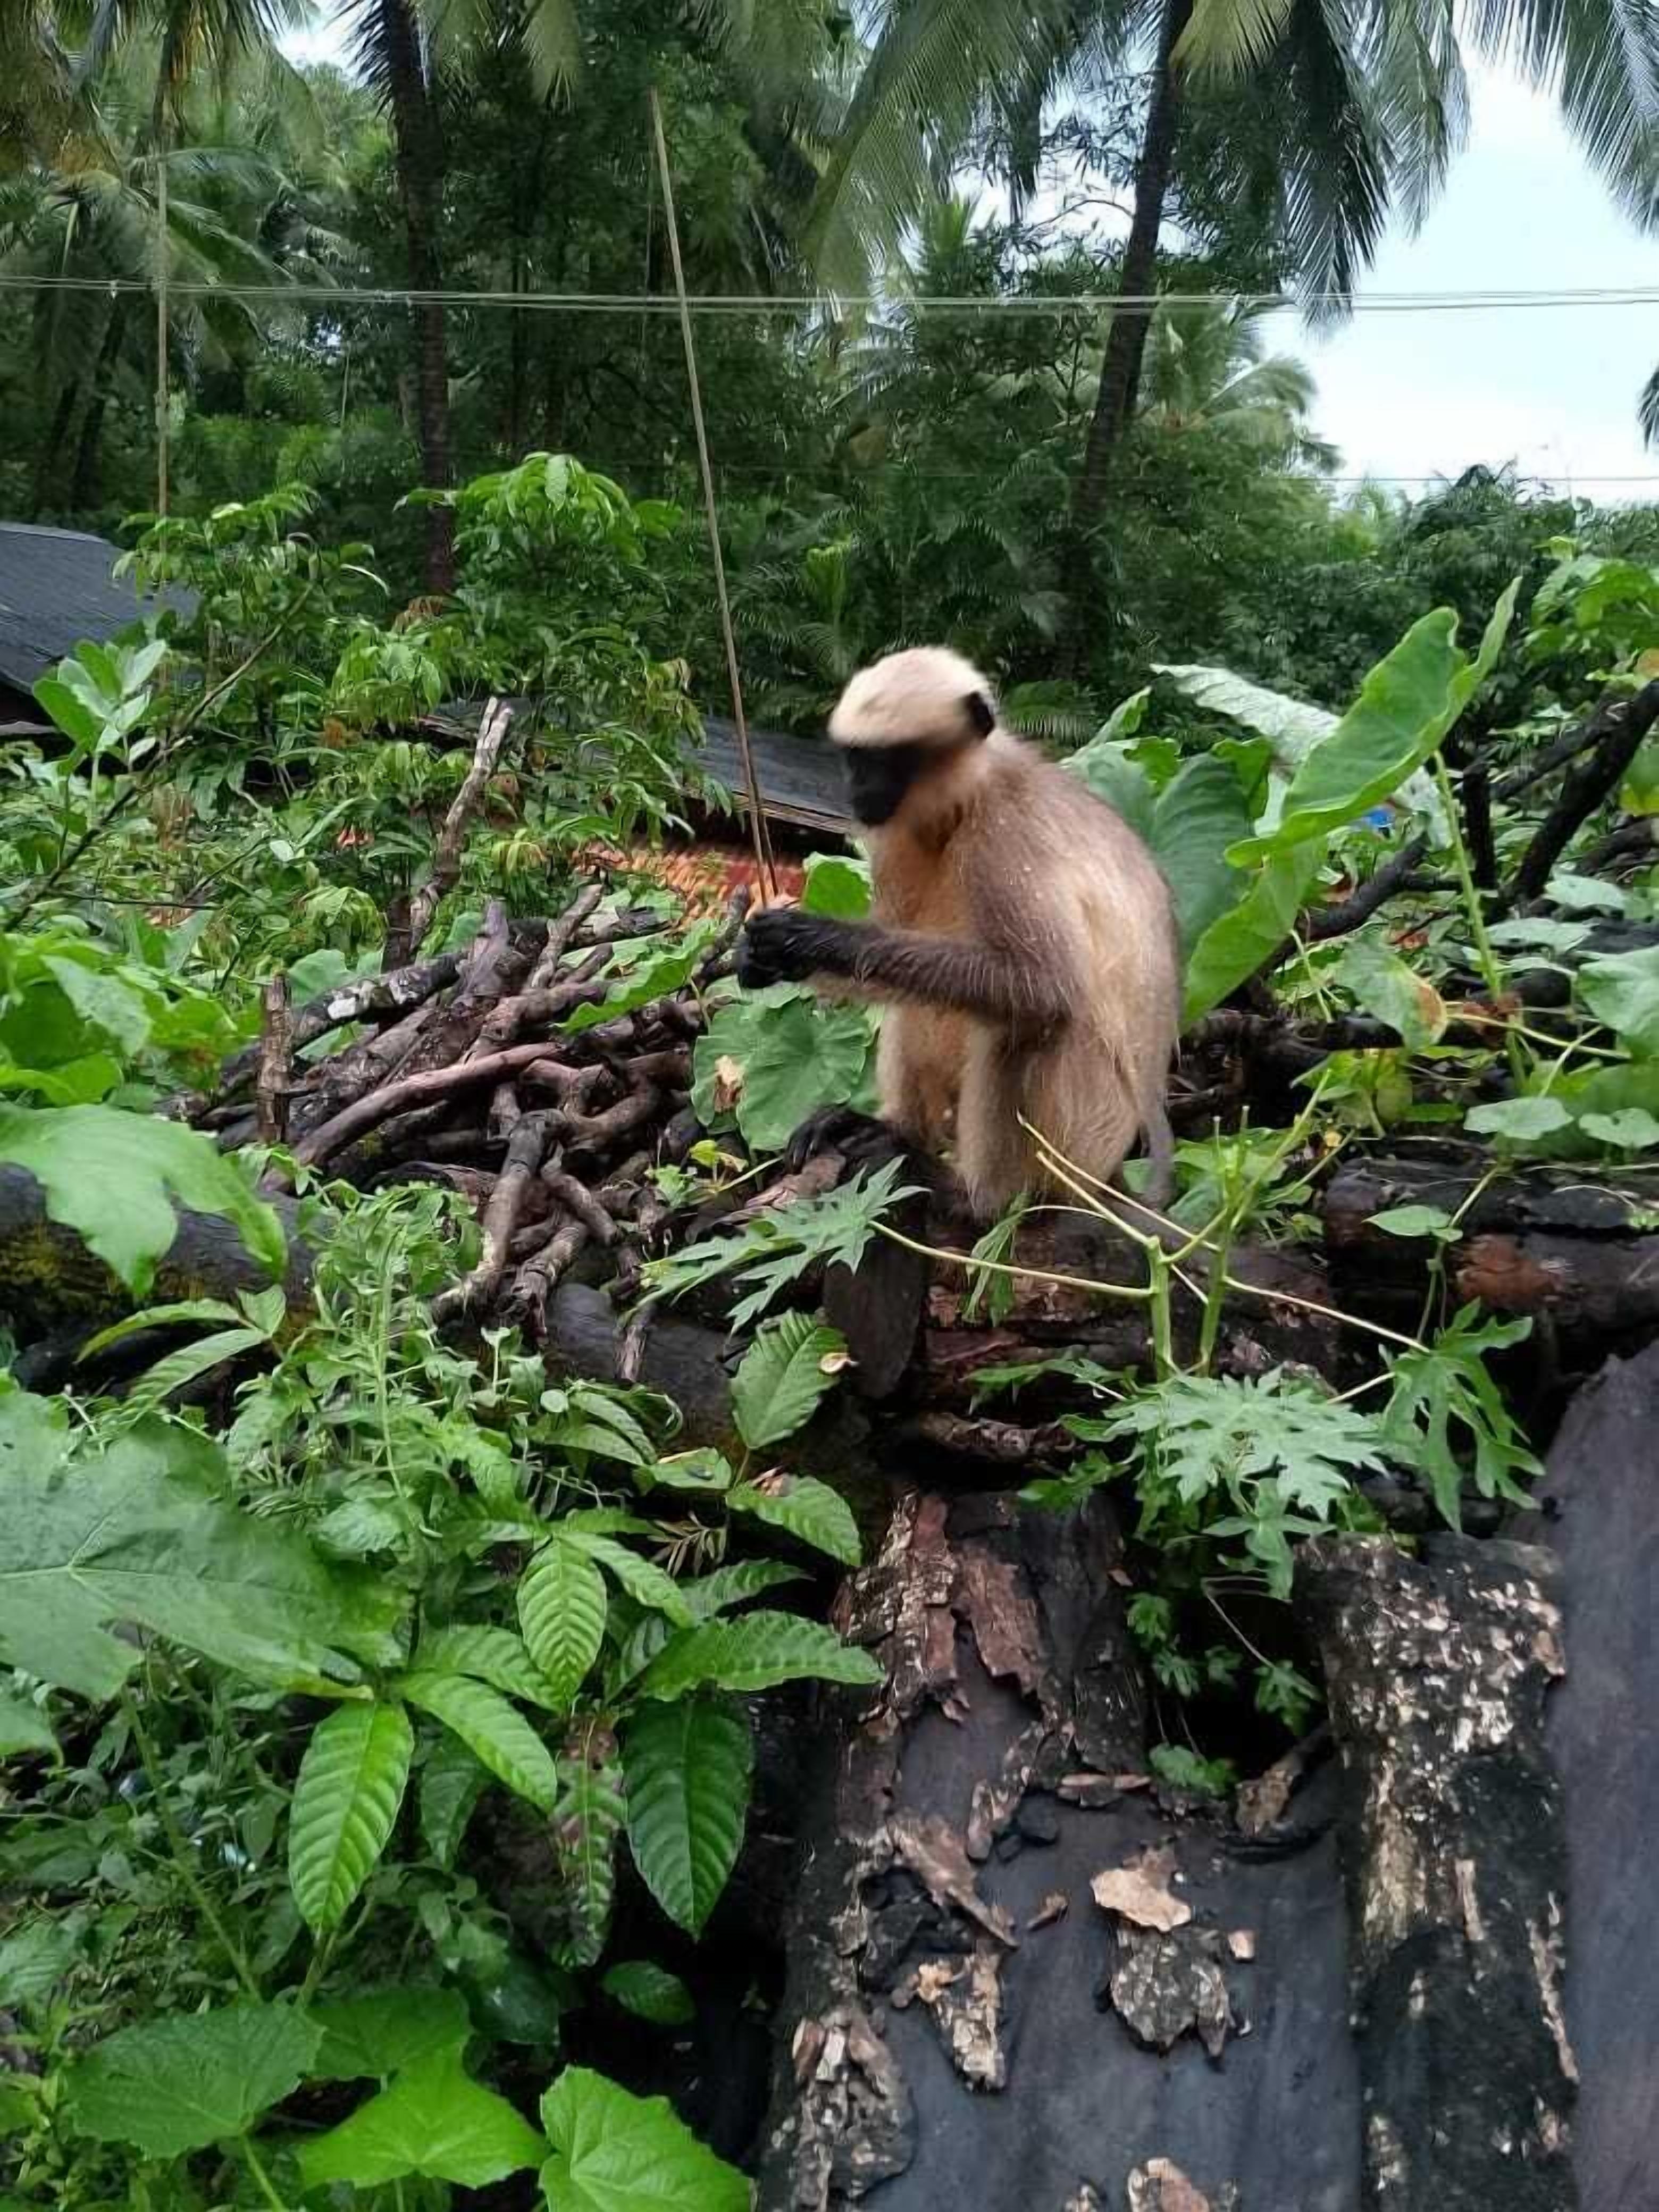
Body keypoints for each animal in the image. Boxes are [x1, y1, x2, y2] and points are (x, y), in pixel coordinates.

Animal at [735, 645, 1181, 1224]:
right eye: (855, 759)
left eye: (888, 762)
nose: (857, 787)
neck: (961, 803)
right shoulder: (895, 831)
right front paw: (765, 956)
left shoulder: (1005, 827)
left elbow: (1045, 988)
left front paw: (806, 940)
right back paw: (896, 1130)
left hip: (1078, 1140)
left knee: (1024, 1021)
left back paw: (974, 1198)